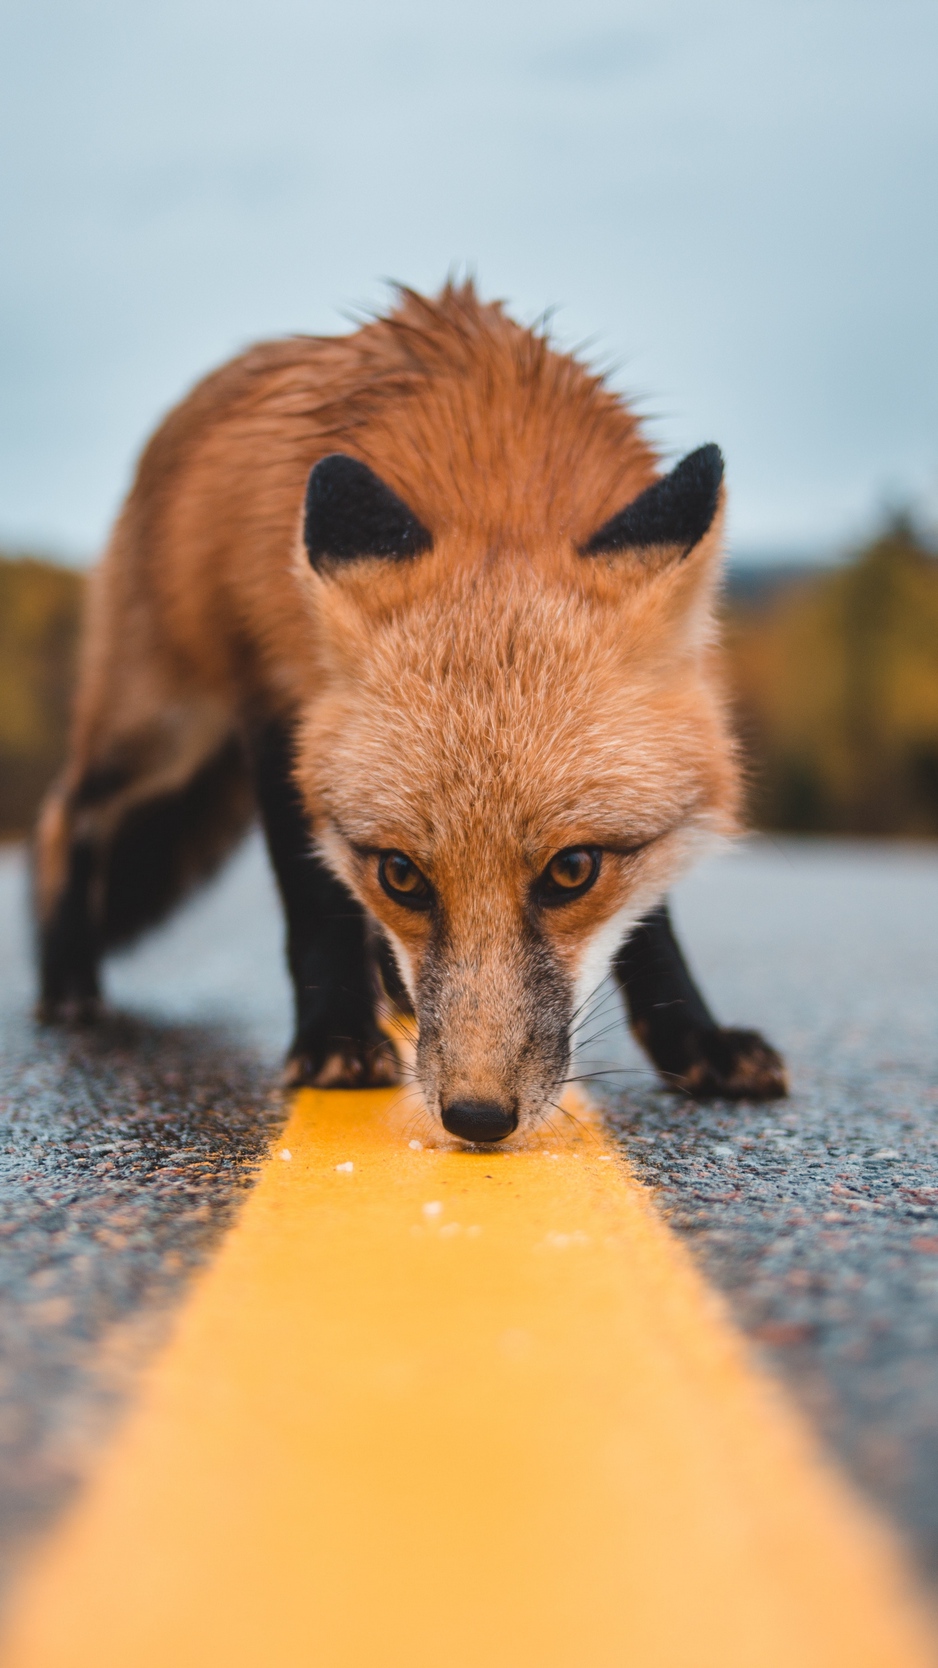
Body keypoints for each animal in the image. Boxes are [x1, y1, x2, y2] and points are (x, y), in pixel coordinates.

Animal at [34, 281, 786, 1144]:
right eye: (401, 875)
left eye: (573, 871)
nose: (478, 1116)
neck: (496, 474)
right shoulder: (278, 708)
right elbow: (314, 897)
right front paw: (333, 1037)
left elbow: (651, 925)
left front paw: (693, 1039)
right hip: (164, 727)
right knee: (66, 812)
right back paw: (66, 979)